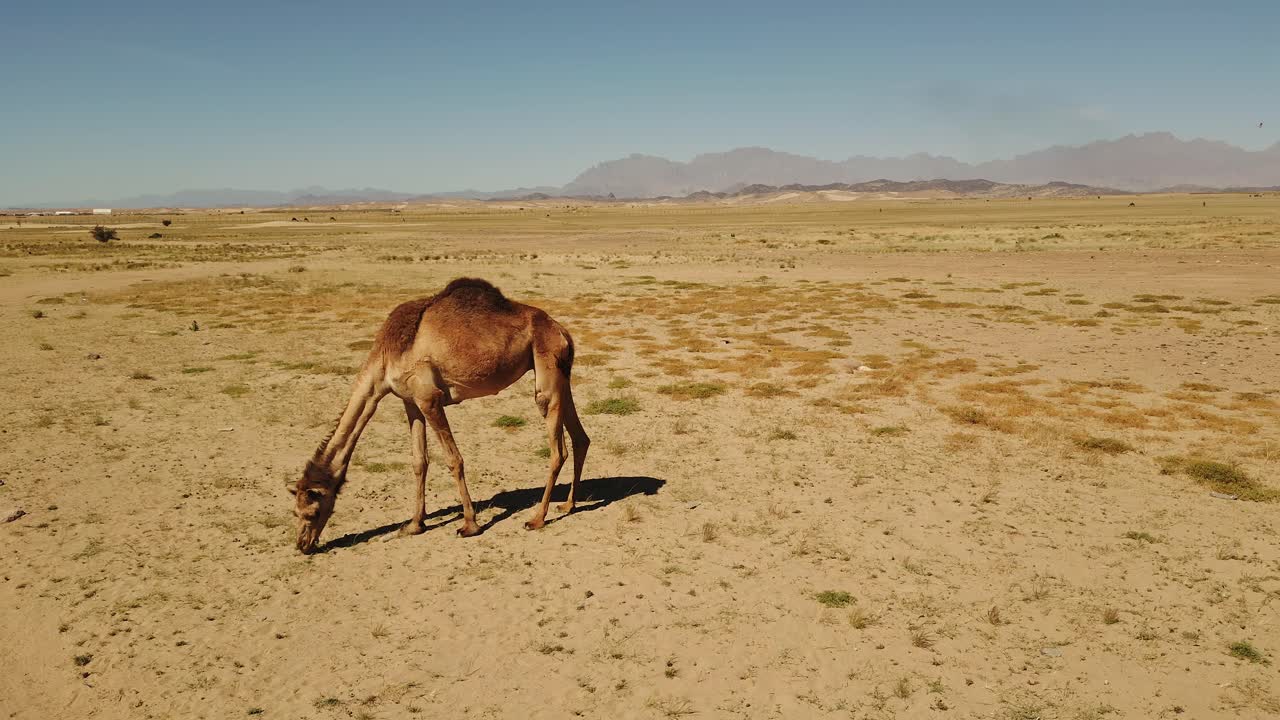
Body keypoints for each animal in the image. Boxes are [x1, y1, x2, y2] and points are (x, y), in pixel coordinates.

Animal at [288, 278, 589, 554]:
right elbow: (419, 462)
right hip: (562, 374)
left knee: (557, 447)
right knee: (580, 438)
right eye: (295, 512)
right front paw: (414, 525)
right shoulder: (410, 401)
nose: (302, 545)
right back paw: (568, 504)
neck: (387, 355)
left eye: (312, 512)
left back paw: (537, 519)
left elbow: (454, 460)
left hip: (546, 369)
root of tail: (562, 331)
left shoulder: (428, 398)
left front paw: (469, 525)